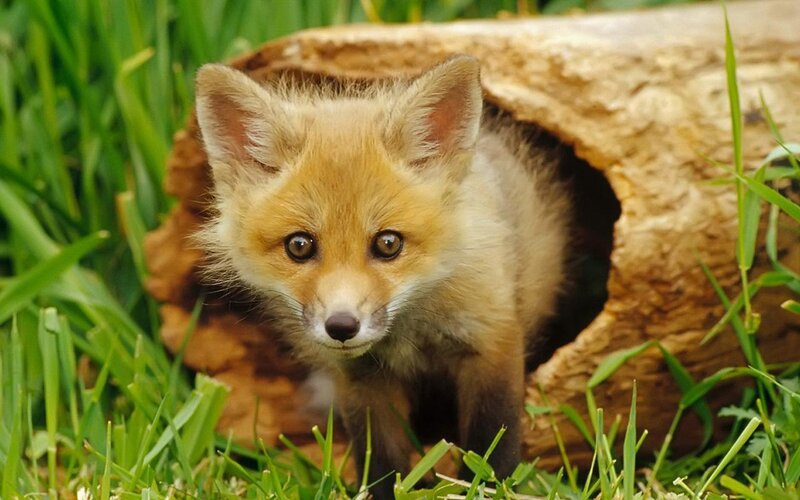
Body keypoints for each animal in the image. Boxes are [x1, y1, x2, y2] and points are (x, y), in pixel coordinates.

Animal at [194, 55, 570, 498]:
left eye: (388, 244)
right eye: (299, 246)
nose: (341, 326)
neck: (410, 334)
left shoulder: (492, 341)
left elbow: (492, 441)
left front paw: (488, 485)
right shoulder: (362, 380)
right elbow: (382, 459)